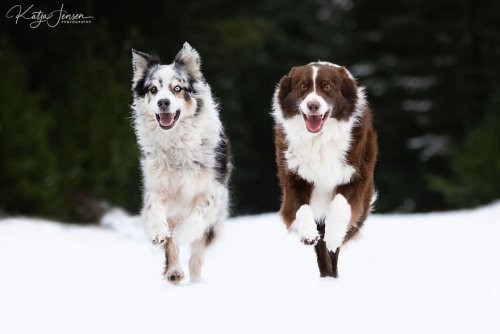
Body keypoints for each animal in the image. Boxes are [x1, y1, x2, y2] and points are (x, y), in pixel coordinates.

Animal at [129, 43, 230, 284]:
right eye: (153, 90)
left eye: (177, 88)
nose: (163, 102)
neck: (176, 141)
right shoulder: (158, 187)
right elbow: (155, 209)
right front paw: (158, 232)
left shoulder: (213, 190)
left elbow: (197, 216)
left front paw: (183, 234)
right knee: (172, 249)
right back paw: (174, 271)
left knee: (196, 257)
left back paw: (195, 280)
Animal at [274, 61, 376, 278]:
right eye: (302, 87)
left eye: (327, 87)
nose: (313, 105)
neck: (320, 139)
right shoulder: (293, 176)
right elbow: (300, 207)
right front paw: (308, 233)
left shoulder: (356, 175)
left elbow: (340, 204)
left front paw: (334, 235)